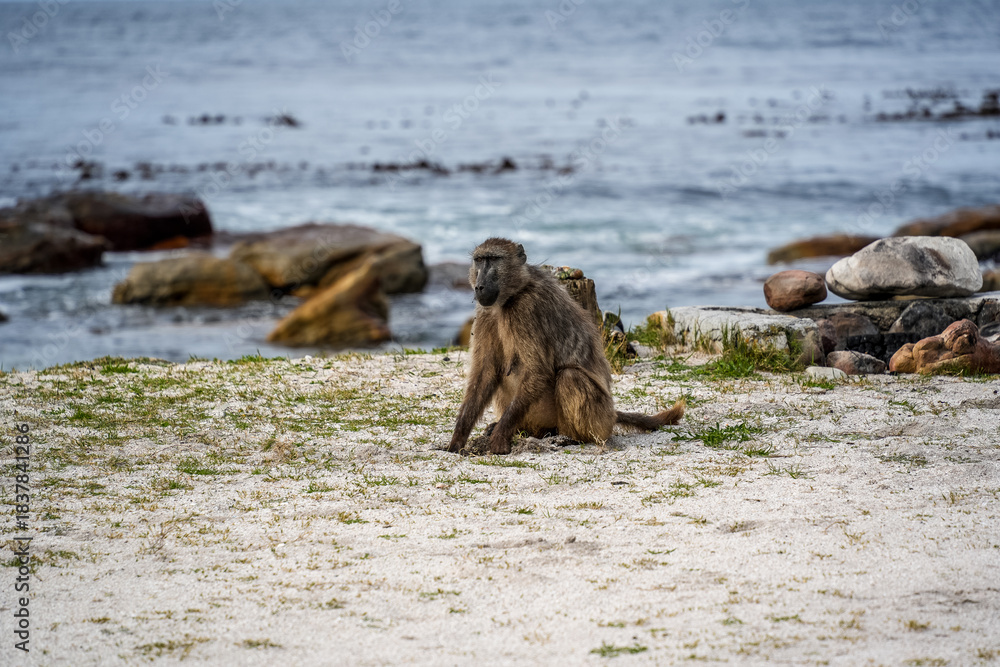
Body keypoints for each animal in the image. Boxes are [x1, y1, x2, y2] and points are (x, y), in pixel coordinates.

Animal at [448, 238, 684, 455]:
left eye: (494, 259)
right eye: (479, 261)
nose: (479, 286)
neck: (513, 294)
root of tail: (613, 414)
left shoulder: (526, 309)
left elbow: (537, 371)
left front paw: (499, 437)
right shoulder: (485, 313)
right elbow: (486, 373)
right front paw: (457, 440)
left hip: (600, 419)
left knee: (570, 377)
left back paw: (569, 438)